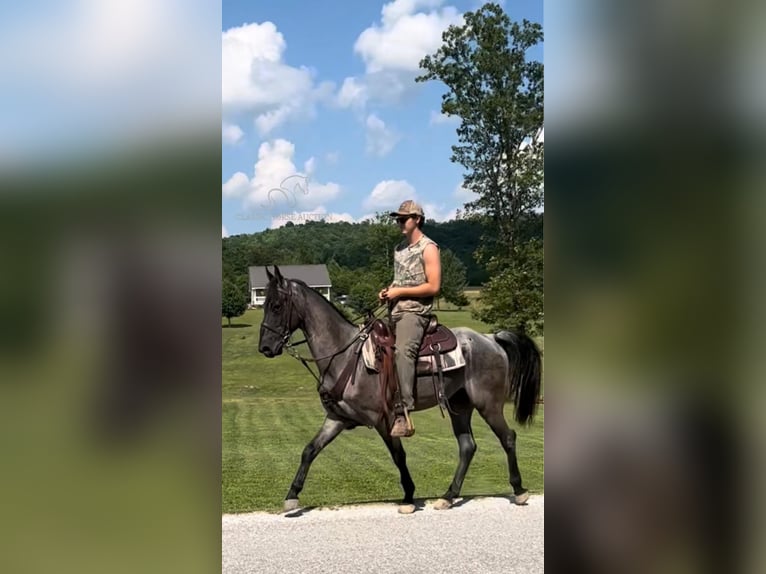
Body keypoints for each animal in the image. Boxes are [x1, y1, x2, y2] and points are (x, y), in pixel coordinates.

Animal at [260, 266, 544, 512]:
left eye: (276, 305)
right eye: (264, 303)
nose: (265, 347)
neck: (346, 355)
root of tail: (492, 338)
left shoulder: (383, 420)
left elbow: (399, 456)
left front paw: (408, 495)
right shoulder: (337, 419)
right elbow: (309, 450)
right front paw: (292, 496)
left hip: (489, 404)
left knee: (508, 437)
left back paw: (519, 490)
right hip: (460, 405)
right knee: (467, 446)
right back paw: (448, 496)